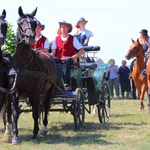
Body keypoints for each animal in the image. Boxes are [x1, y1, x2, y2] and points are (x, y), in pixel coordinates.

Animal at [7, 6, 56, 144]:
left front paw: (34, 134)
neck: (24, 64)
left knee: (45, 107)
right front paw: (15, 136)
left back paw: (43, 128)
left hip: (50, 89)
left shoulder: (36, 92)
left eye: (34, 23)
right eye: (20, 22)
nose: (30, 37)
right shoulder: (15, 92)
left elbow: (35, 113)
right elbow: (15, 112)